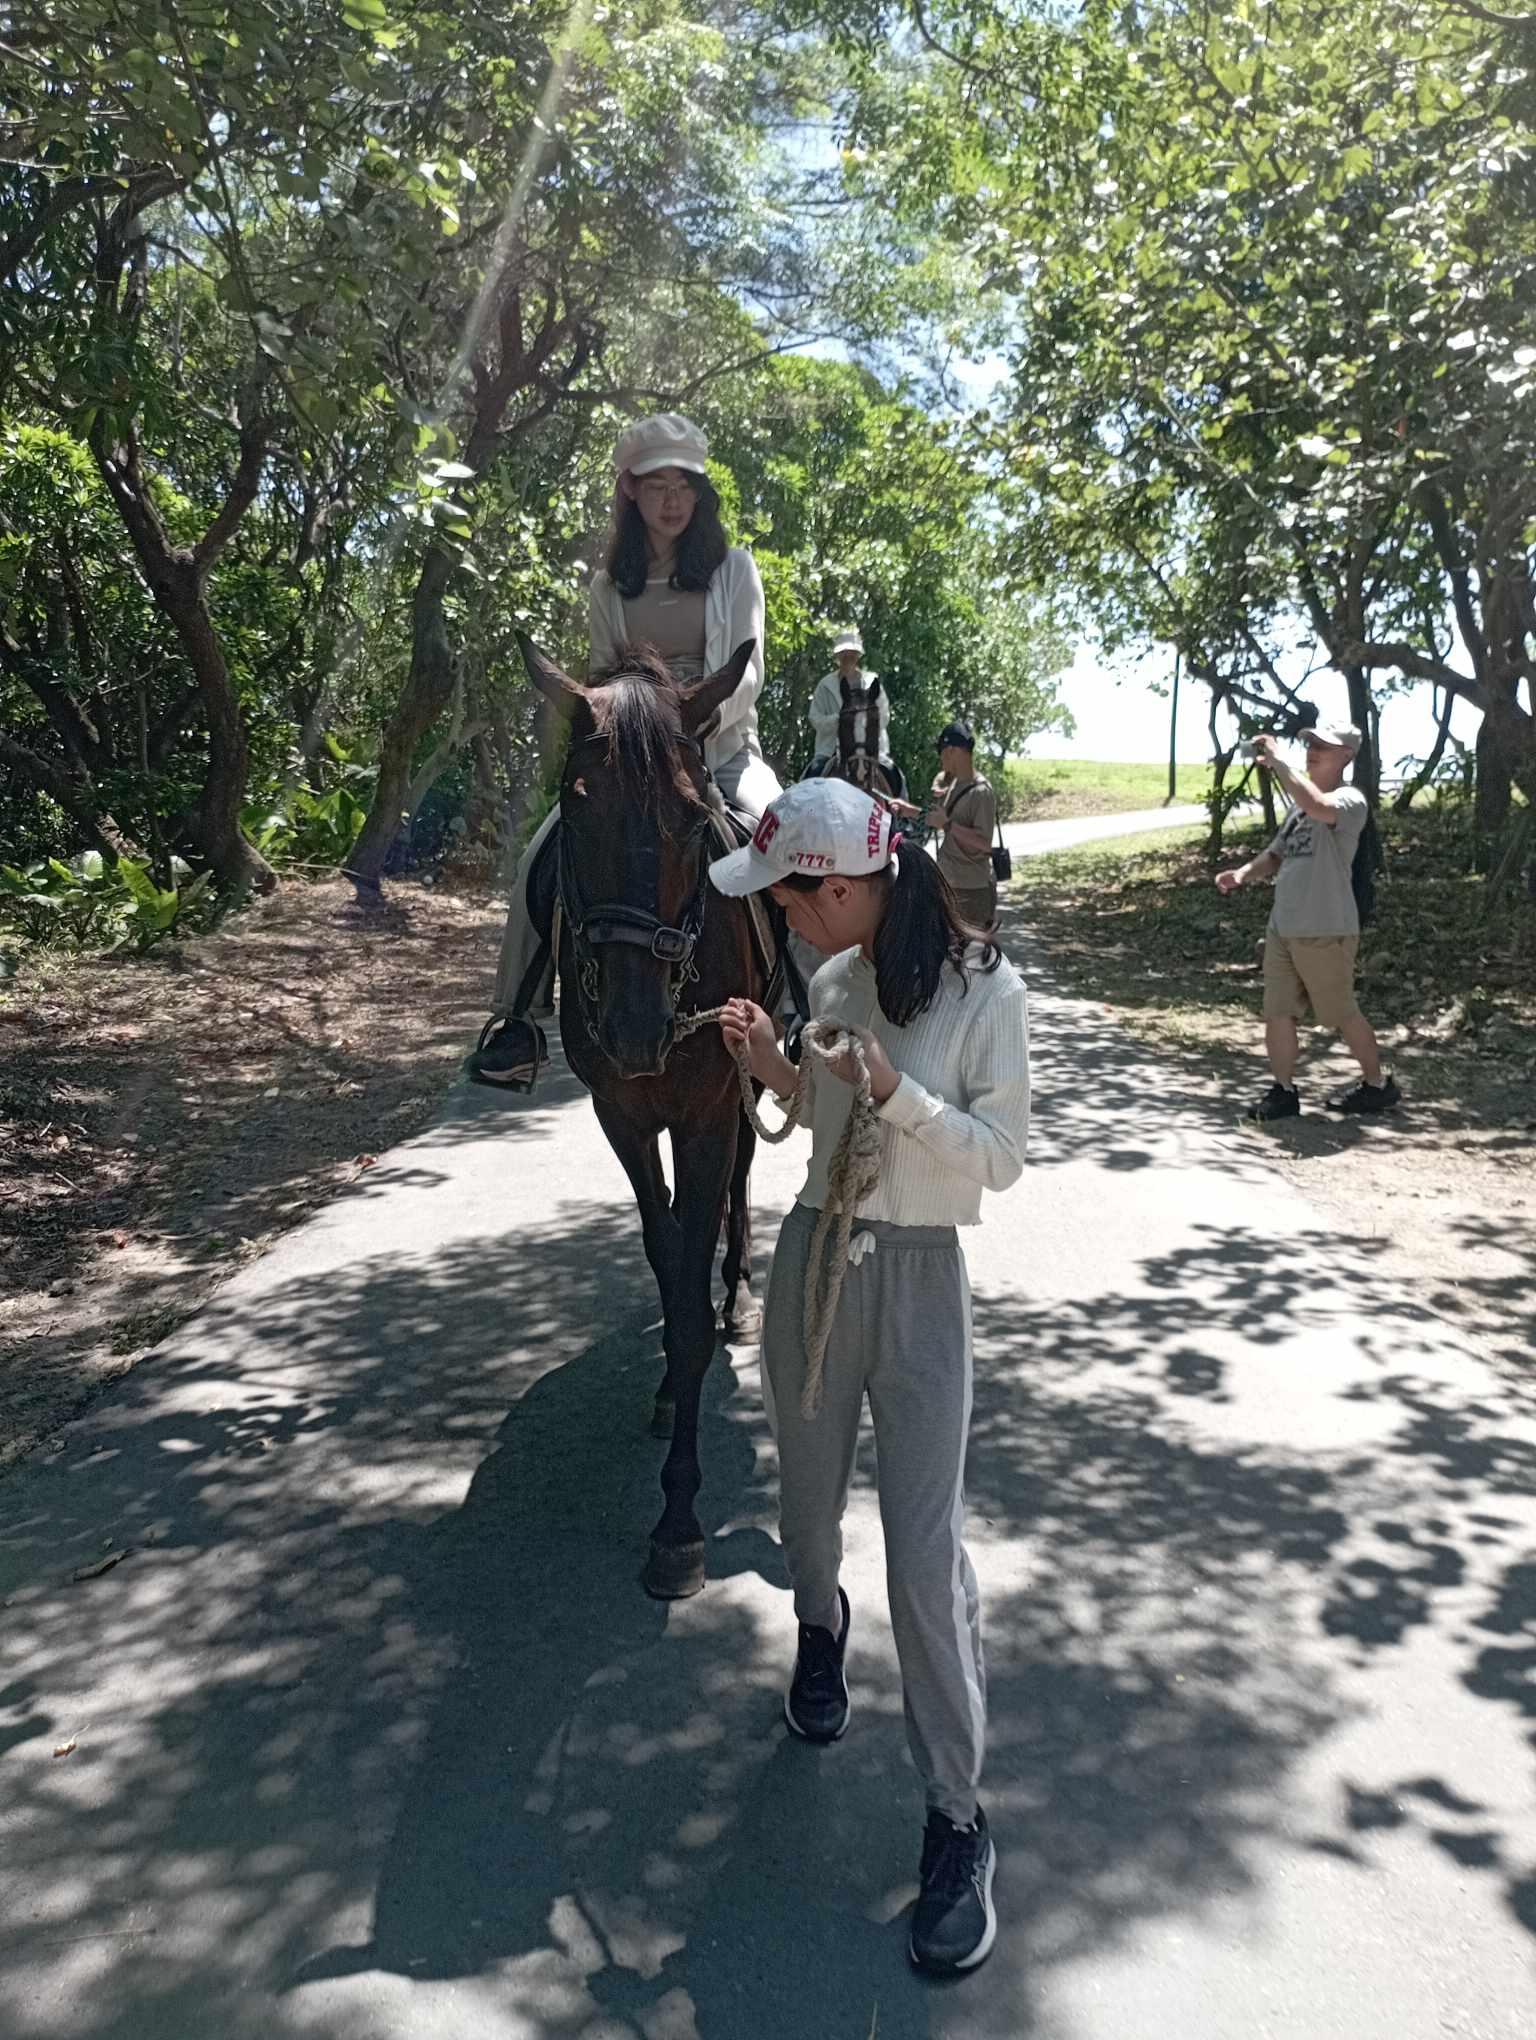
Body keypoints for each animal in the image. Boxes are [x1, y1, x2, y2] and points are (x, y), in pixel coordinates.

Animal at [518, 628, 762, 1599]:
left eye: (694, 824)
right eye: (576, 818)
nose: (633, 1028)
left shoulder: (708, 1114)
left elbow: (692, 1297)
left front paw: (679, 1519)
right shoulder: (621, 1117)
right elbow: (664, 1257)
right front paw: (664, 1394)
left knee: (740, 1185)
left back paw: (739, 1293)